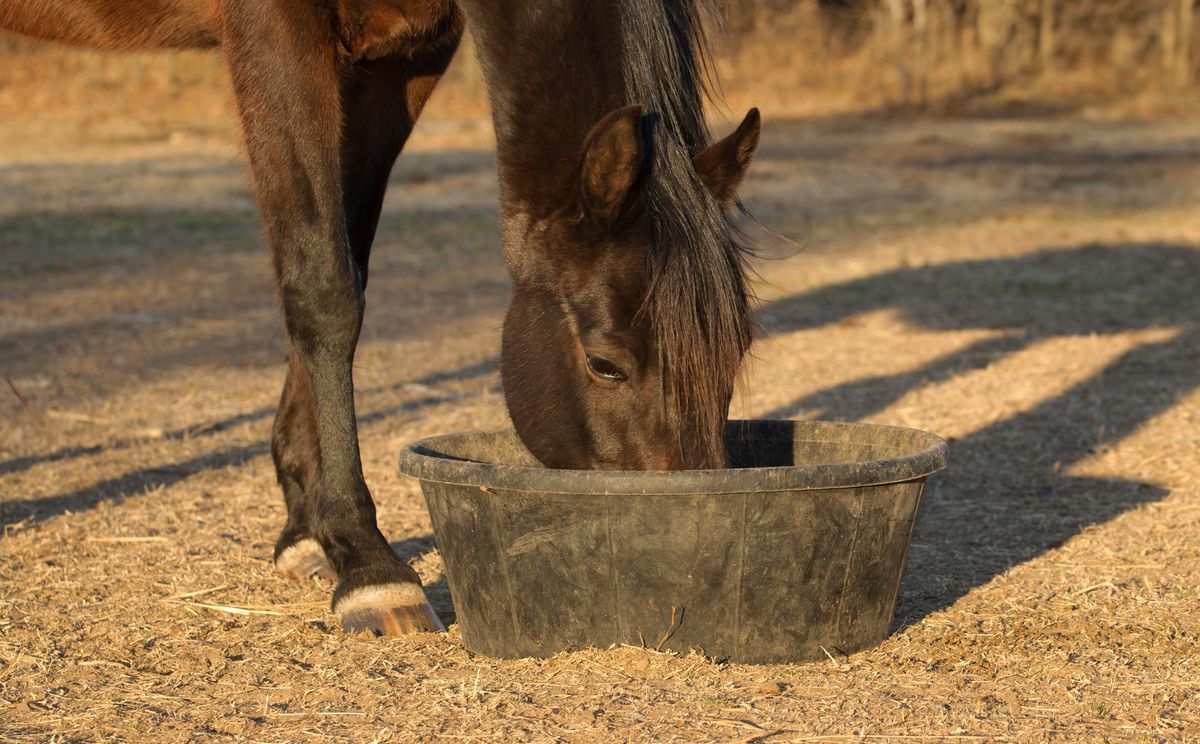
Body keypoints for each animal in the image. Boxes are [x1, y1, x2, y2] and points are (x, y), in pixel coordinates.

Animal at [2, 2, 758, 638]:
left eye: (738, 353)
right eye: (605, 363)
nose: (689, 553)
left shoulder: (399, 58)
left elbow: (347, 258)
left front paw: (308, 530)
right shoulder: (275, 32)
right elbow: (323, 285)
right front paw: (368, 565)